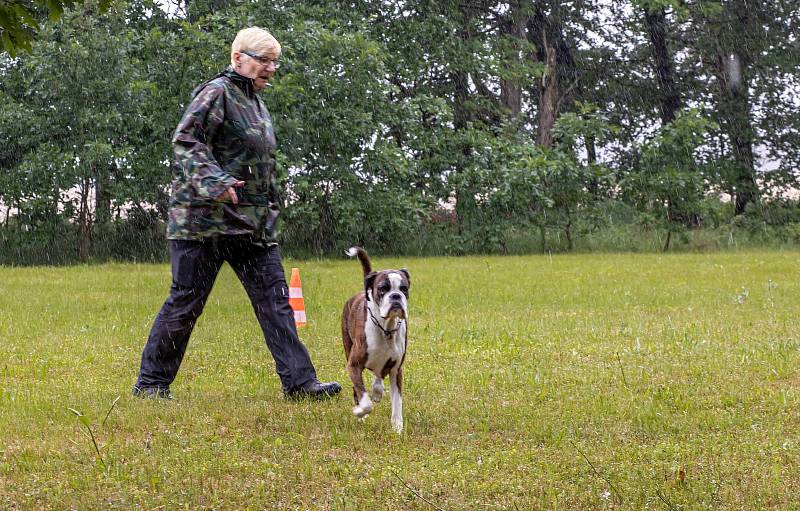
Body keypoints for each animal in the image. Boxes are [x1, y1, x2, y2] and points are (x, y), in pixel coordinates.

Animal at [340, 246, 410, 434]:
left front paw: (398, 428)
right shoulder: (353, 366)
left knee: (378, 374)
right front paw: (359, 412)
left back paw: (378, 390)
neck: (386, 327)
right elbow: (365, 402)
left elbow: (397, 403)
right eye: (383, 288)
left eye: (404, 288)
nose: (396, 296)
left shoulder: (396, 370)